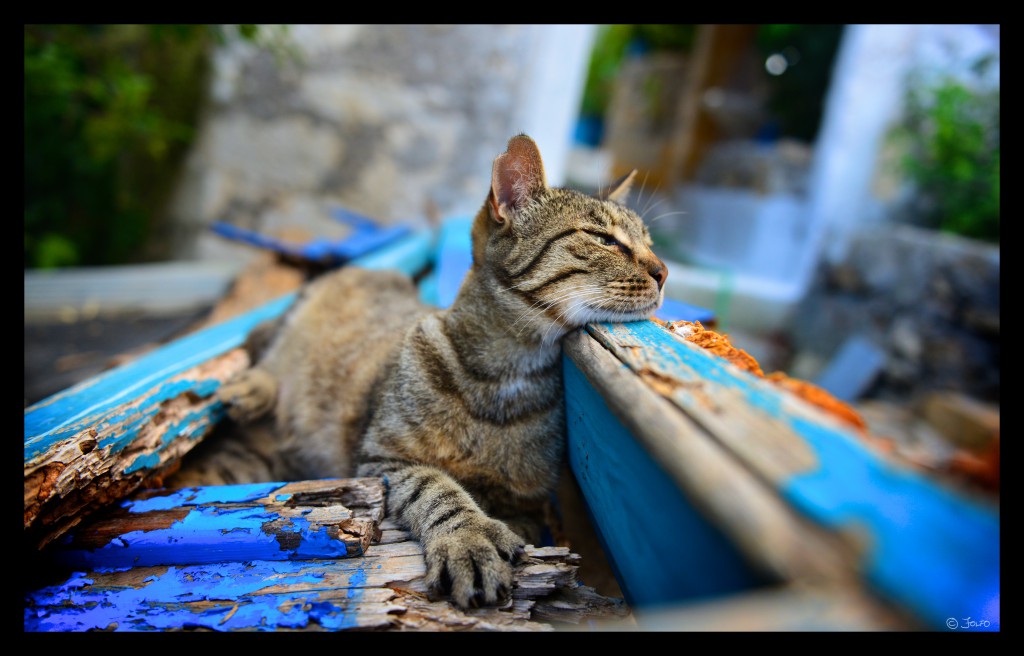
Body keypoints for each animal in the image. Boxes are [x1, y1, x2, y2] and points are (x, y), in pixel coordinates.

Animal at [188, 134, 667, 609]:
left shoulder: (531, 503)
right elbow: (437, 488)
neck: (505, 375)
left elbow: (515, 518)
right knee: (268, 348)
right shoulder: (383, 460)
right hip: (293, 325)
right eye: (604, 239)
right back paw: (252, 389)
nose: (663, 270)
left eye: (649, 242)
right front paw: (469, 539)